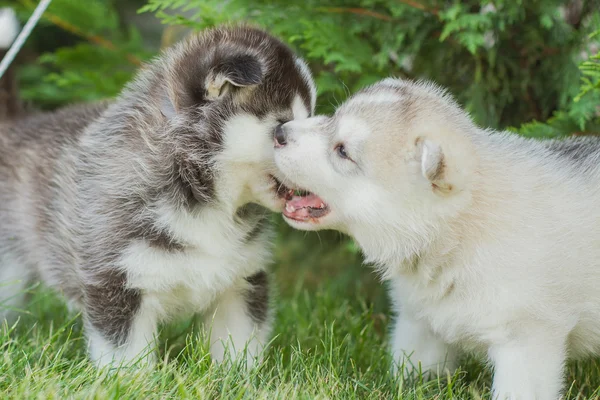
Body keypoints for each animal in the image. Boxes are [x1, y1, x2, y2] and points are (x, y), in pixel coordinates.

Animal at [0, 25, 316, 368]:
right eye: (281, 128)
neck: (198, 192)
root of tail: (15, 123)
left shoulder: (242, 278)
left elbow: (240, 343)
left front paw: (240, 374)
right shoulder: (116, 283)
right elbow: (125, 356)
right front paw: (130, 378)